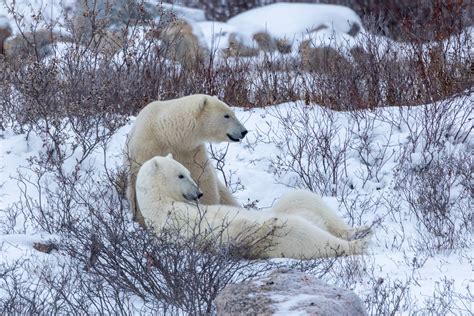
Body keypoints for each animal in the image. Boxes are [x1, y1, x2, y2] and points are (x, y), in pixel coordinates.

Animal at [125, 94, 248, 225]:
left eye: (232, 112)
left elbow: (203, 177)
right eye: (226, 115)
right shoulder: (147, 148)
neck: (167, 134)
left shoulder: (190, 151)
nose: (244, 131)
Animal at [135, 154, 372, 260]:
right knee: (304, 233)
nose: (199, 193)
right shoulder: (177, 223)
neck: (159, 204)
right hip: (283, 238)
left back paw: (361, 229)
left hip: (293, 206)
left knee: (303, 198)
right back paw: (358, 243)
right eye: (181, 175)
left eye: (187, 172)